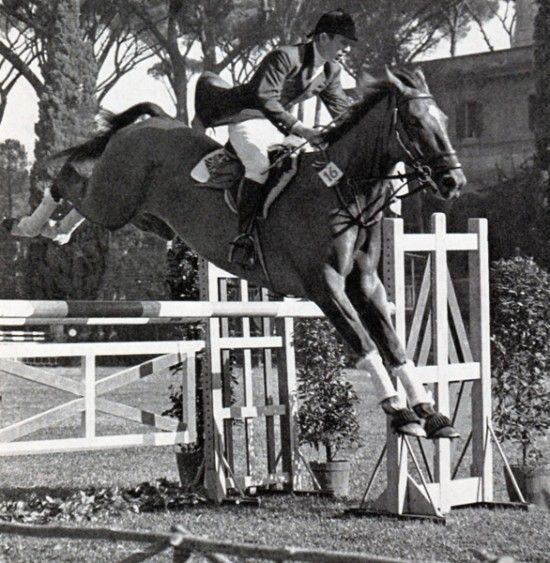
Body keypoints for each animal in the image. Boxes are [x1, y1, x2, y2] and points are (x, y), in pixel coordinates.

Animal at [49, 67, 468, 440]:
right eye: (414, 123)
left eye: (446, 120)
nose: (454, 181)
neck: (342, 189)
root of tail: (151, 123)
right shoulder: (325, 287)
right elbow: (365, 344)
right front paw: (399, 412)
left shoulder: (366, 285)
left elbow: (394, 347)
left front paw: (431, 414)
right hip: (114, 201)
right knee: (68, 181)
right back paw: (46, 226)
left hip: (146, 216)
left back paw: (60, 227)